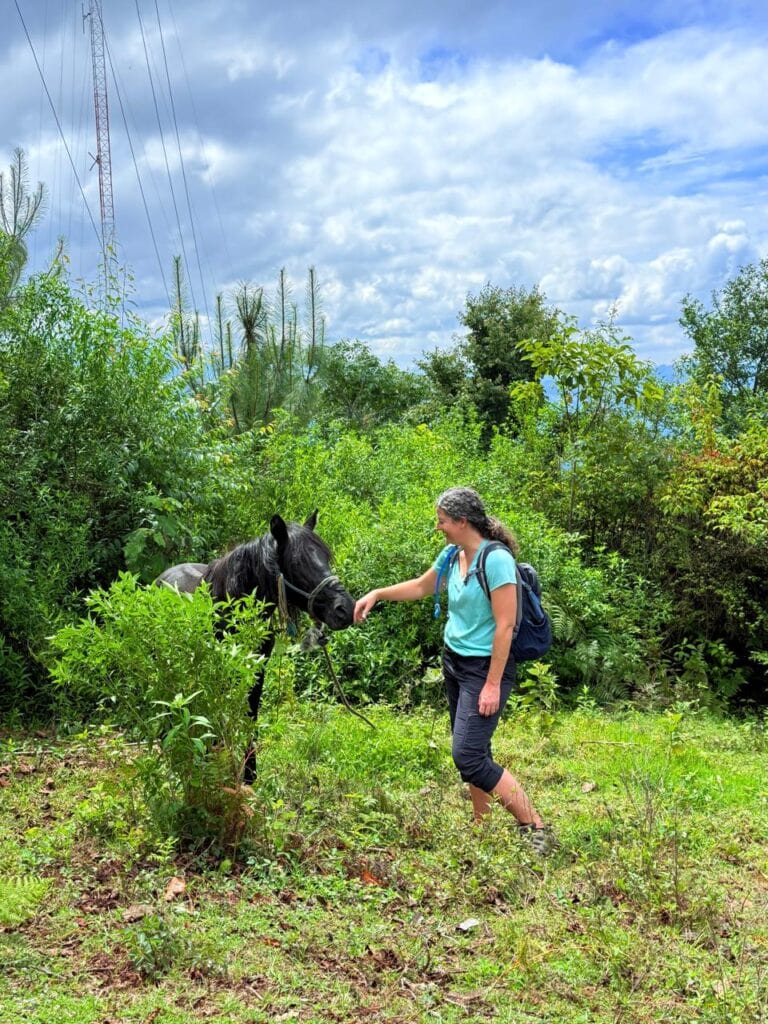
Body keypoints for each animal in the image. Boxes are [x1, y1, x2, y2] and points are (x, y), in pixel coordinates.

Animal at [155, 511, 355, 778]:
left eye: (326, 558)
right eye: (298, 563)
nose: (346, 609)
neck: (230, 604)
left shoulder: (258, 667)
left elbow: (251, 713)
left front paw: (249, 772)